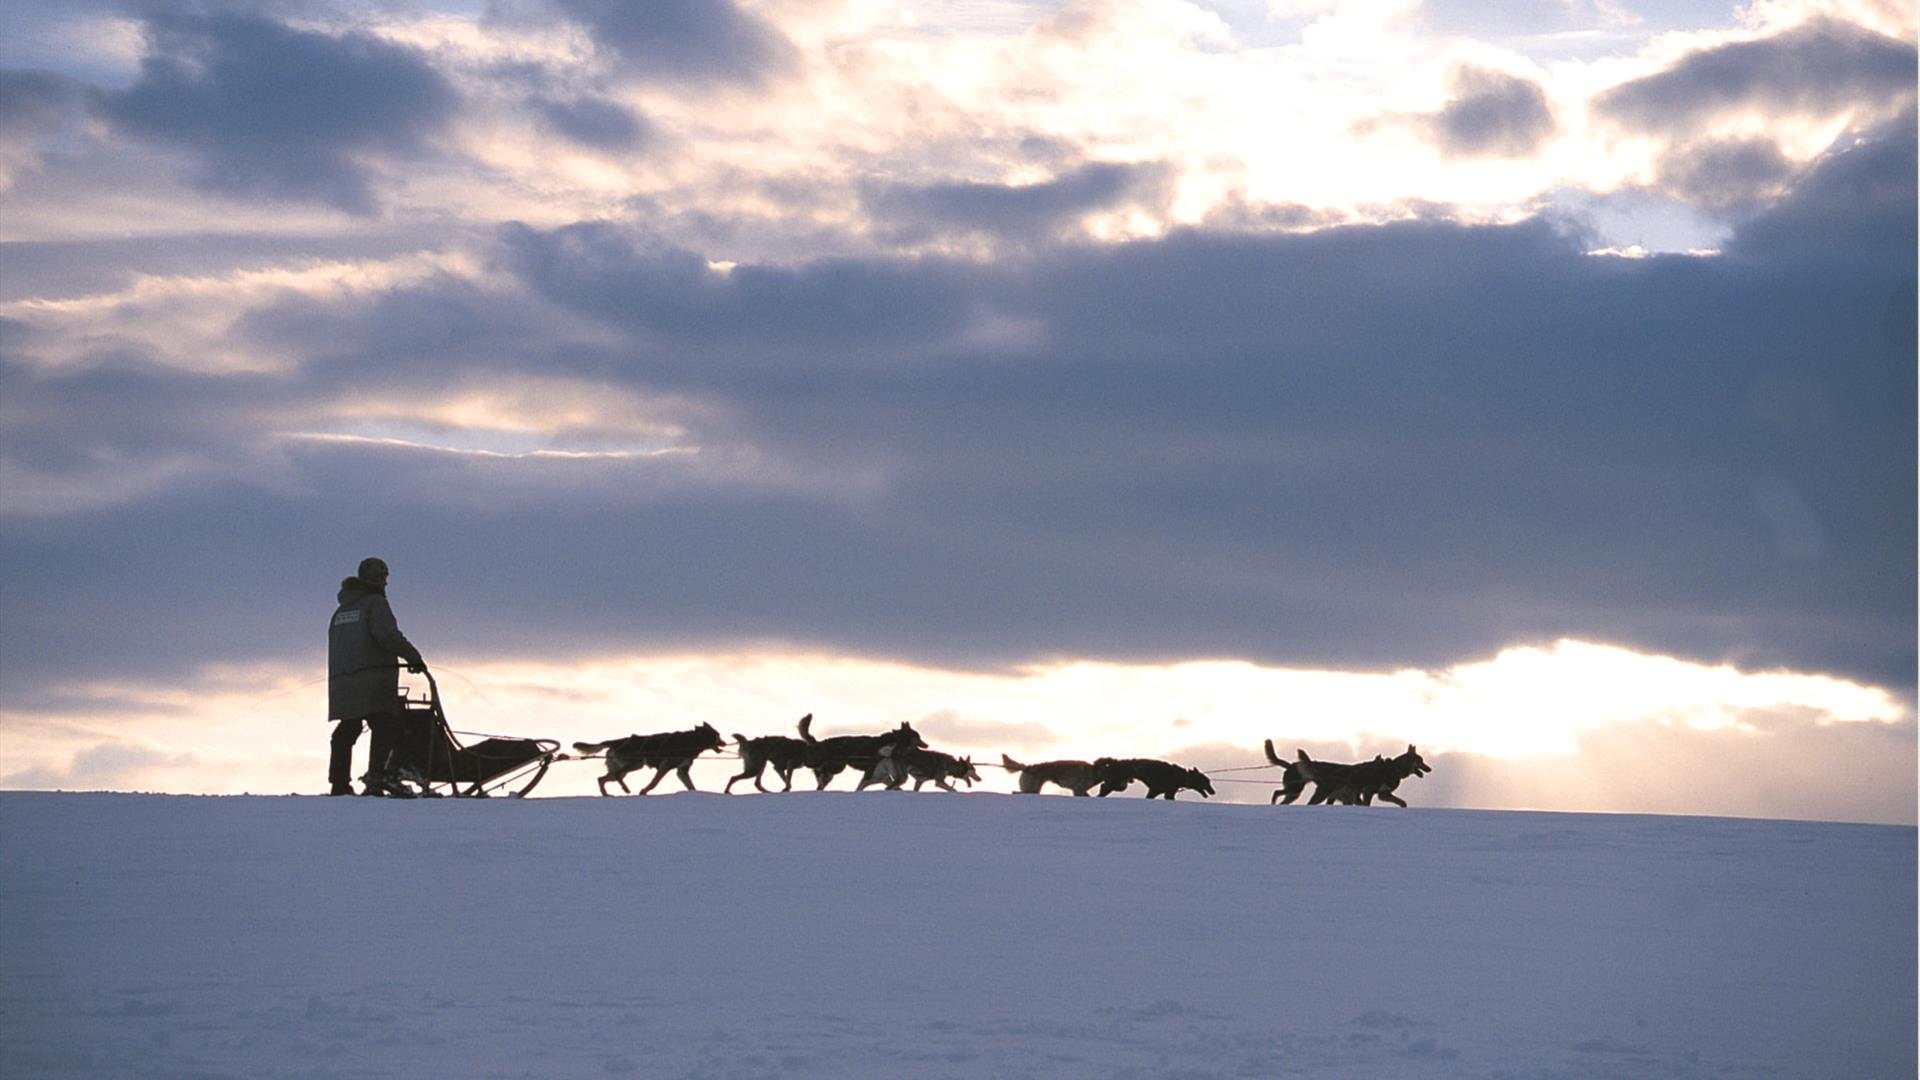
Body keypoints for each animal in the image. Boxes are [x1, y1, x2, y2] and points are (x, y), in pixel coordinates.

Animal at [568, 718, 725, 795]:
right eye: (718, 735)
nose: (724, 743)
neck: (693, 740)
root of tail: (615, 742)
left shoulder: (681, 771)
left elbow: (691, 786)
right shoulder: (665, 766)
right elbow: (654, 783)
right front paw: (644, 791)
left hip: (627, 767)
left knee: (602, 779)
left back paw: (606, 794)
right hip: (636, 764)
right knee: (616, 776)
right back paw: (625, 789)